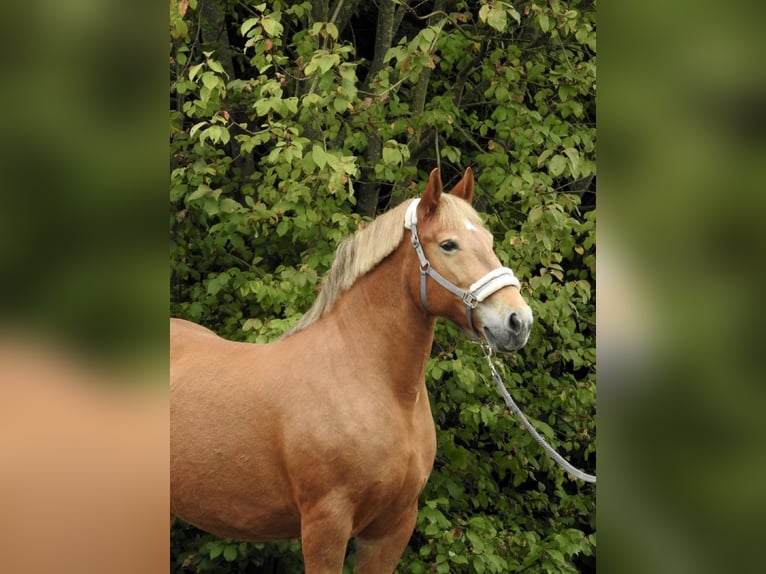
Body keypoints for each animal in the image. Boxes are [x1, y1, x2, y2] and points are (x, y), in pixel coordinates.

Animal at [171, 169, 536, 572]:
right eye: (449, 245)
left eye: (489, 241)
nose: (518, 321)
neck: (374, 383)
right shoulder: (325, 525)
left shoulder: (393, 526)